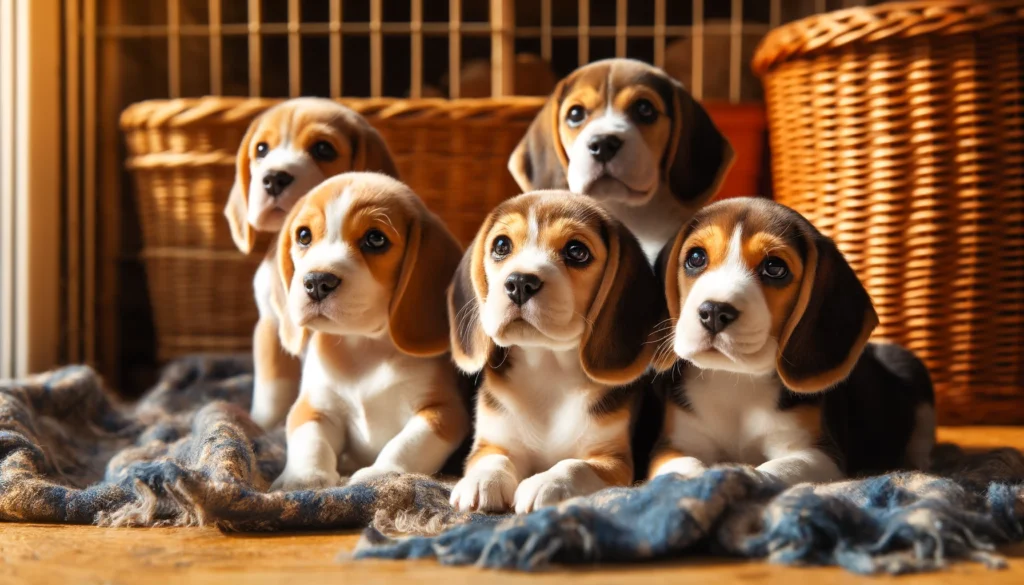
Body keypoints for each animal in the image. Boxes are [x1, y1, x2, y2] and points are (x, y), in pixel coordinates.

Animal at [224, 97, 395, 430]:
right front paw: (261, 429)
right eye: (261, 149)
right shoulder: (271, 327)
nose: (274, 178)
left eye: (323, 149)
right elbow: (271, 391)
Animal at [268, 173, 468, 489]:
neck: (364, 348)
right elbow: (309, 440)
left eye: (375, 239)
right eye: (303, 236)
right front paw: (304, 478)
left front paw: (381, 473)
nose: (317, 281)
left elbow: (408, 444)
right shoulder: (313, 407)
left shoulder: (443, 411)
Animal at [448, 191, 663, 512]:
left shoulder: (614, 461)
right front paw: (483, 480)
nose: (519, 282)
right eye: (501, 246)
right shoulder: (491, 442)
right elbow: (492, 459)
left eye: (576, 251)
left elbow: (574, 465)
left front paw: (547, 483)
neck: (547, 367)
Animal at [651, 198, 933, 487]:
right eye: (696, 258)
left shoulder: (818, 452)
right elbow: (684, 465)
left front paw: (745, 475)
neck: (734, 380)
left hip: (910, 367)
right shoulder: (674, 443)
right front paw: (695, 482)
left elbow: (779, 468)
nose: (714, 311)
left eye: (774, 267)